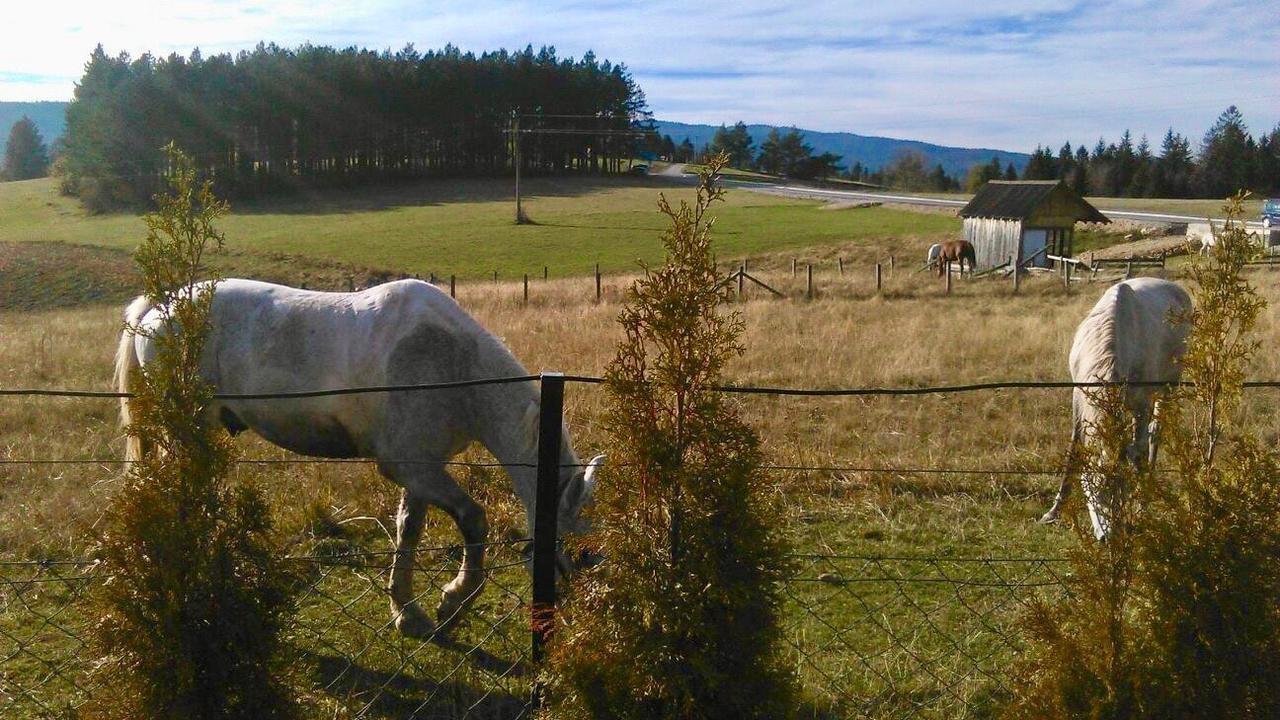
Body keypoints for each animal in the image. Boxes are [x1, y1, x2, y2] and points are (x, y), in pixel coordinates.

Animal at [115, 275, 604, 632]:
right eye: (581, 552)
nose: (578, 613)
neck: (450, 362)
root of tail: (159, 307)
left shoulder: (422, 470)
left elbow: (409, 532)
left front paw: (407, 612)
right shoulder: (411, 468)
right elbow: (473, 521)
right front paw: (453, 603)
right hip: (186, 431)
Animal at [1039, 278, 1187, 535]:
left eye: (1123, 490)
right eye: (1093, 489)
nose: (1109, 537)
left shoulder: (1141, 403)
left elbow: (1138, 453)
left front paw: (1141, 508)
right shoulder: (1079, 398)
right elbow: (1073, 451)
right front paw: (1053, 511)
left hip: (1169, 385)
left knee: (1155, 433)